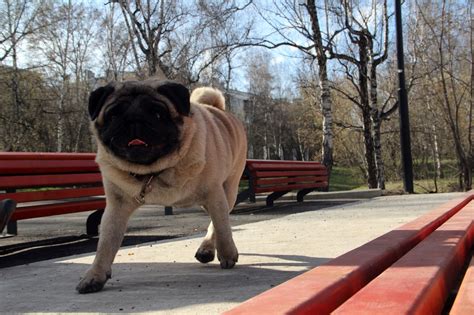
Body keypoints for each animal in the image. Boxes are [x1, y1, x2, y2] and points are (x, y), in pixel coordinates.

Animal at [76, 80, 246, 296]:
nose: (134, 120)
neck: (154, 171)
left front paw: (228, 254)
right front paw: (95, 275)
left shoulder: (214, 194)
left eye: (157, 114)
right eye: (113, 115)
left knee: (217, 222)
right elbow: (105, 244)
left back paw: (207, 248)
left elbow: (223, 228)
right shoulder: (116, 207)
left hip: (228, 190)